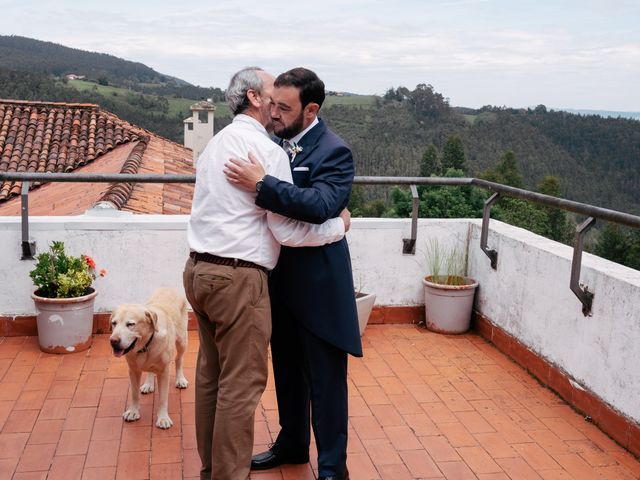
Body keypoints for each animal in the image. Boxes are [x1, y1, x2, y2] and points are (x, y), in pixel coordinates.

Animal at [109, 286, 189, 430]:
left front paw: (163, 418)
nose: (113, 341)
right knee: (150, 369)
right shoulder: (133, 370)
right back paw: (148, 384)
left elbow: (163, 398)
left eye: (130, 324)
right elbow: (134, 393)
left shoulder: (164, 371)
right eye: (114, 323)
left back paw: (180, 379)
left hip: (182, 340)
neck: (145, 346)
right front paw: (133, 411)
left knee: (179, 359)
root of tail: (168, 287)